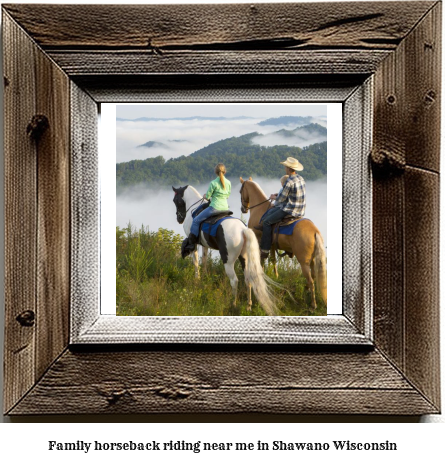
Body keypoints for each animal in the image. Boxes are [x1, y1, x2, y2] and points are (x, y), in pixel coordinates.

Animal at [172, 185, 276, 316]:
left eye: (175, 200)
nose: (179, 219)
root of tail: (243, 230)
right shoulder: (204, 245)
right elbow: (204, 260)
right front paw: (204, 277)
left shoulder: (194, 244)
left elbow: (195, 262)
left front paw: (197, 279)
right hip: (244, 258)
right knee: (248, 280)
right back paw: (248, 306)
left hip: (228, 261)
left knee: (234, 281)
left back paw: (233, 304)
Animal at [239, 178, 326, 308]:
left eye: (240, 191)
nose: (243, 209)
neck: (260, 209)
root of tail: (315, 231)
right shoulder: (271, 245)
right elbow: (273, 260)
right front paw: (275, 276)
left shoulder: (259, 242)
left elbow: (262, 259)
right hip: (313, 260)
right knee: (313, 276)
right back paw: (307, 290)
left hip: (304, 262)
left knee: (311, 280)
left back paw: (313, 304)